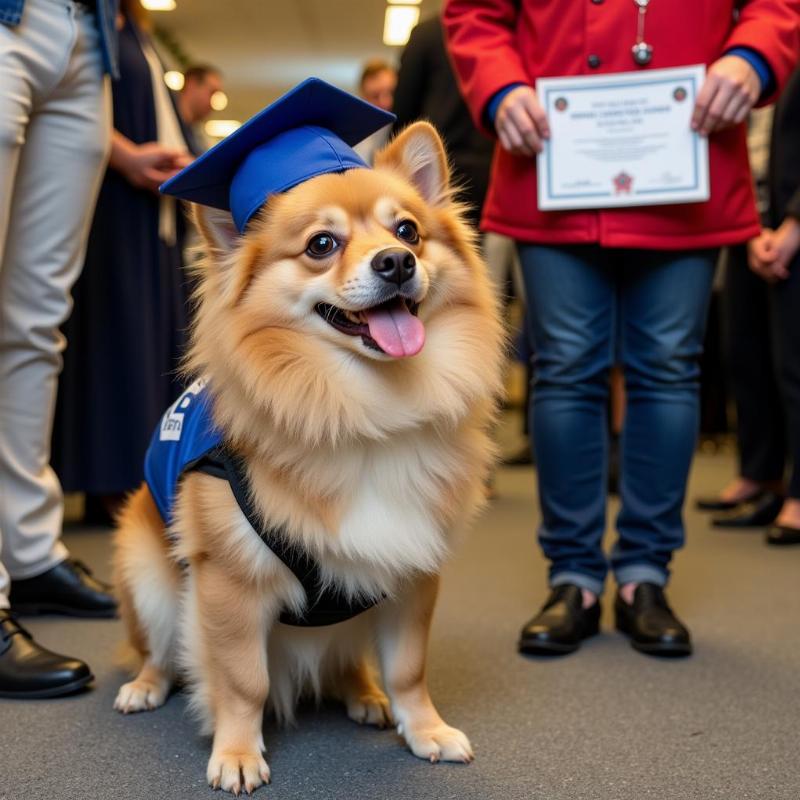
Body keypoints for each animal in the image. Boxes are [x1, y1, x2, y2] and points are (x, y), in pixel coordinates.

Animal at [110, 120, 504, 792]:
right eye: (322, 244)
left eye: (409, 231)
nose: (396, 262)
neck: (363, 411)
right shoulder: (230, 584)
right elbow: (243, 681)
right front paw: (238, 753)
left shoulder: (412, 568)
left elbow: (409, 670)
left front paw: (424, 730)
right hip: (149, 579)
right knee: (157, 651)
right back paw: (144, 686)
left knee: (351, 665)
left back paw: (365, 695)